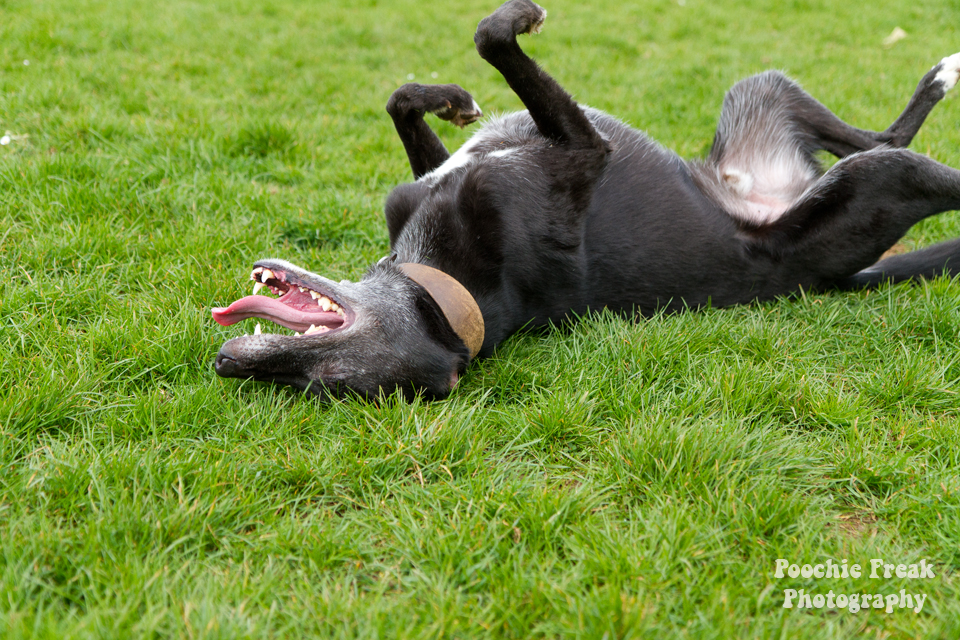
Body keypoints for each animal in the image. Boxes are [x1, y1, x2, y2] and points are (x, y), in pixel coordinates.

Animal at [214, 0, 960, 400]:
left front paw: (453, 98)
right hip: (884, 177)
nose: (224, 363)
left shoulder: (537, 153)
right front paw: (505, 36)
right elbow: (489, 40)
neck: (451, 282)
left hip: (767, 92)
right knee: (897, 151)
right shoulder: (583, 150)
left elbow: (414, 93)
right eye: (322, 383)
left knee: (876, 132)